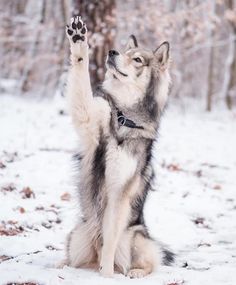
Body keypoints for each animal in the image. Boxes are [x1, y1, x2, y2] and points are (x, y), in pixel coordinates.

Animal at [61, 15, 174, 278]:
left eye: (137, 60)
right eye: (124, 51)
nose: (112, 52)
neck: (123, 119)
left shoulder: (119, 193)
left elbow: (110, 238)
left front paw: (106, 275)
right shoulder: (88, 119)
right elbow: (81, 74)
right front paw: (79, 40)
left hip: (137, 238)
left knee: (150, 261)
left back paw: (134, 272)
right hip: (78, 234)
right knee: (74, 259)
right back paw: (62, 266)